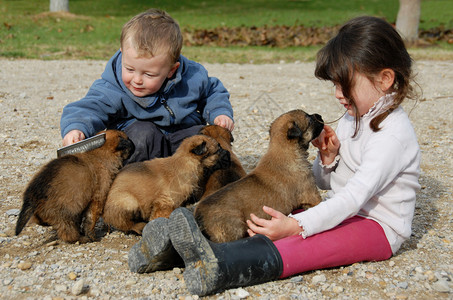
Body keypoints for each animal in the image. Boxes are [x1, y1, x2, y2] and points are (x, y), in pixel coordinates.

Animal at [102, 135, 230, 236]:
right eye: (218, 149)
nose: (228, 152)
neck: (184, 163)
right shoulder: (165, 201)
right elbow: (161, 215)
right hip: (128, 201)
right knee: (124, 223)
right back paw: (139, 227)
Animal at [194, 110, 324, 244]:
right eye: (309, 119)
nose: (319, 115)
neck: (285, 150)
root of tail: (199, 217)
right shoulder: (312, 196)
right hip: (234, 227)